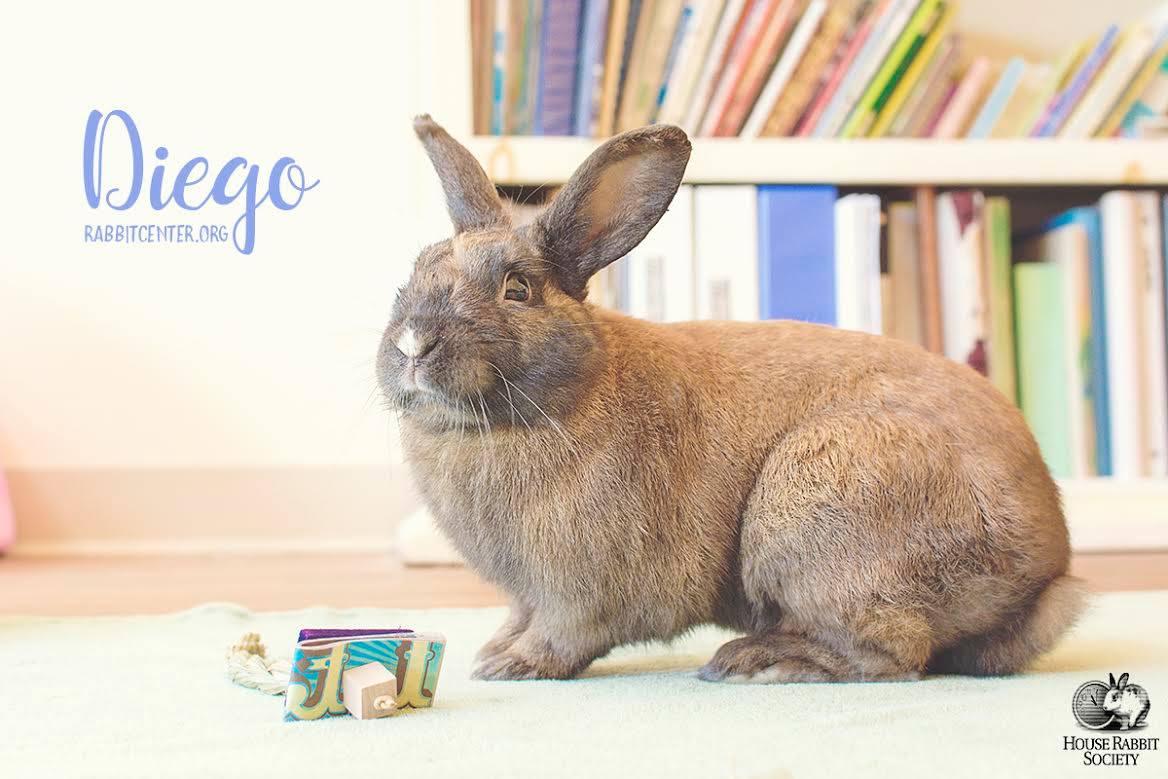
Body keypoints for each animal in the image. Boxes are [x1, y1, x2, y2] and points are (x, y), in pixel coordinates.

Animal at [377, 115, 1088, 683]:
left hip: (816, 514)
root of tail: (1048, 573)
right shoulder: (526, 591)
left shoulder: (583, 588)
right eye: (414, 272)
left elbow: (567, 632)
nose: (413, 344)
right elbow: (519, 615)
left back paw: (761, 662)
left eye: (517, 289)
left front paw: (513, 666)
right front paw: (492, 651)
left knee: (894, 653)